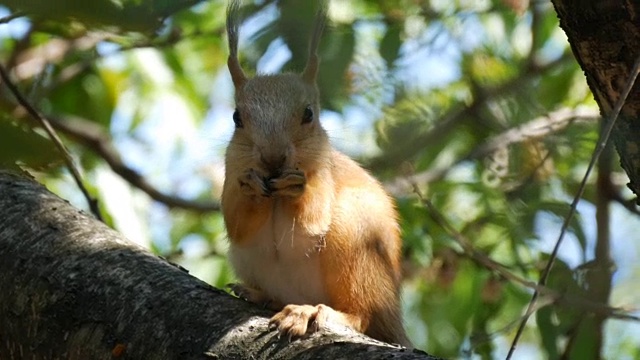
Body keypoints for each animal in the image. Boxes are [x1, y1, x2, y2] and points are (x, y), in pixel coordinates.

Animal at [220, 0, 410, 346]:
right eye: (237, 117)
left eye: (308, 114)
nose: (273, 158)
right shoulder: (232, 166)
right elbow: (237, 224)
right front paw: (250, 187)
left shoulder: (324, 172)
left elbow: (312, 222)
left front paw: (299, 187)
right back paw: (261, 295)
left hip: (357, 242)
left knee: (361, 314)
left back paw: (309, 312)